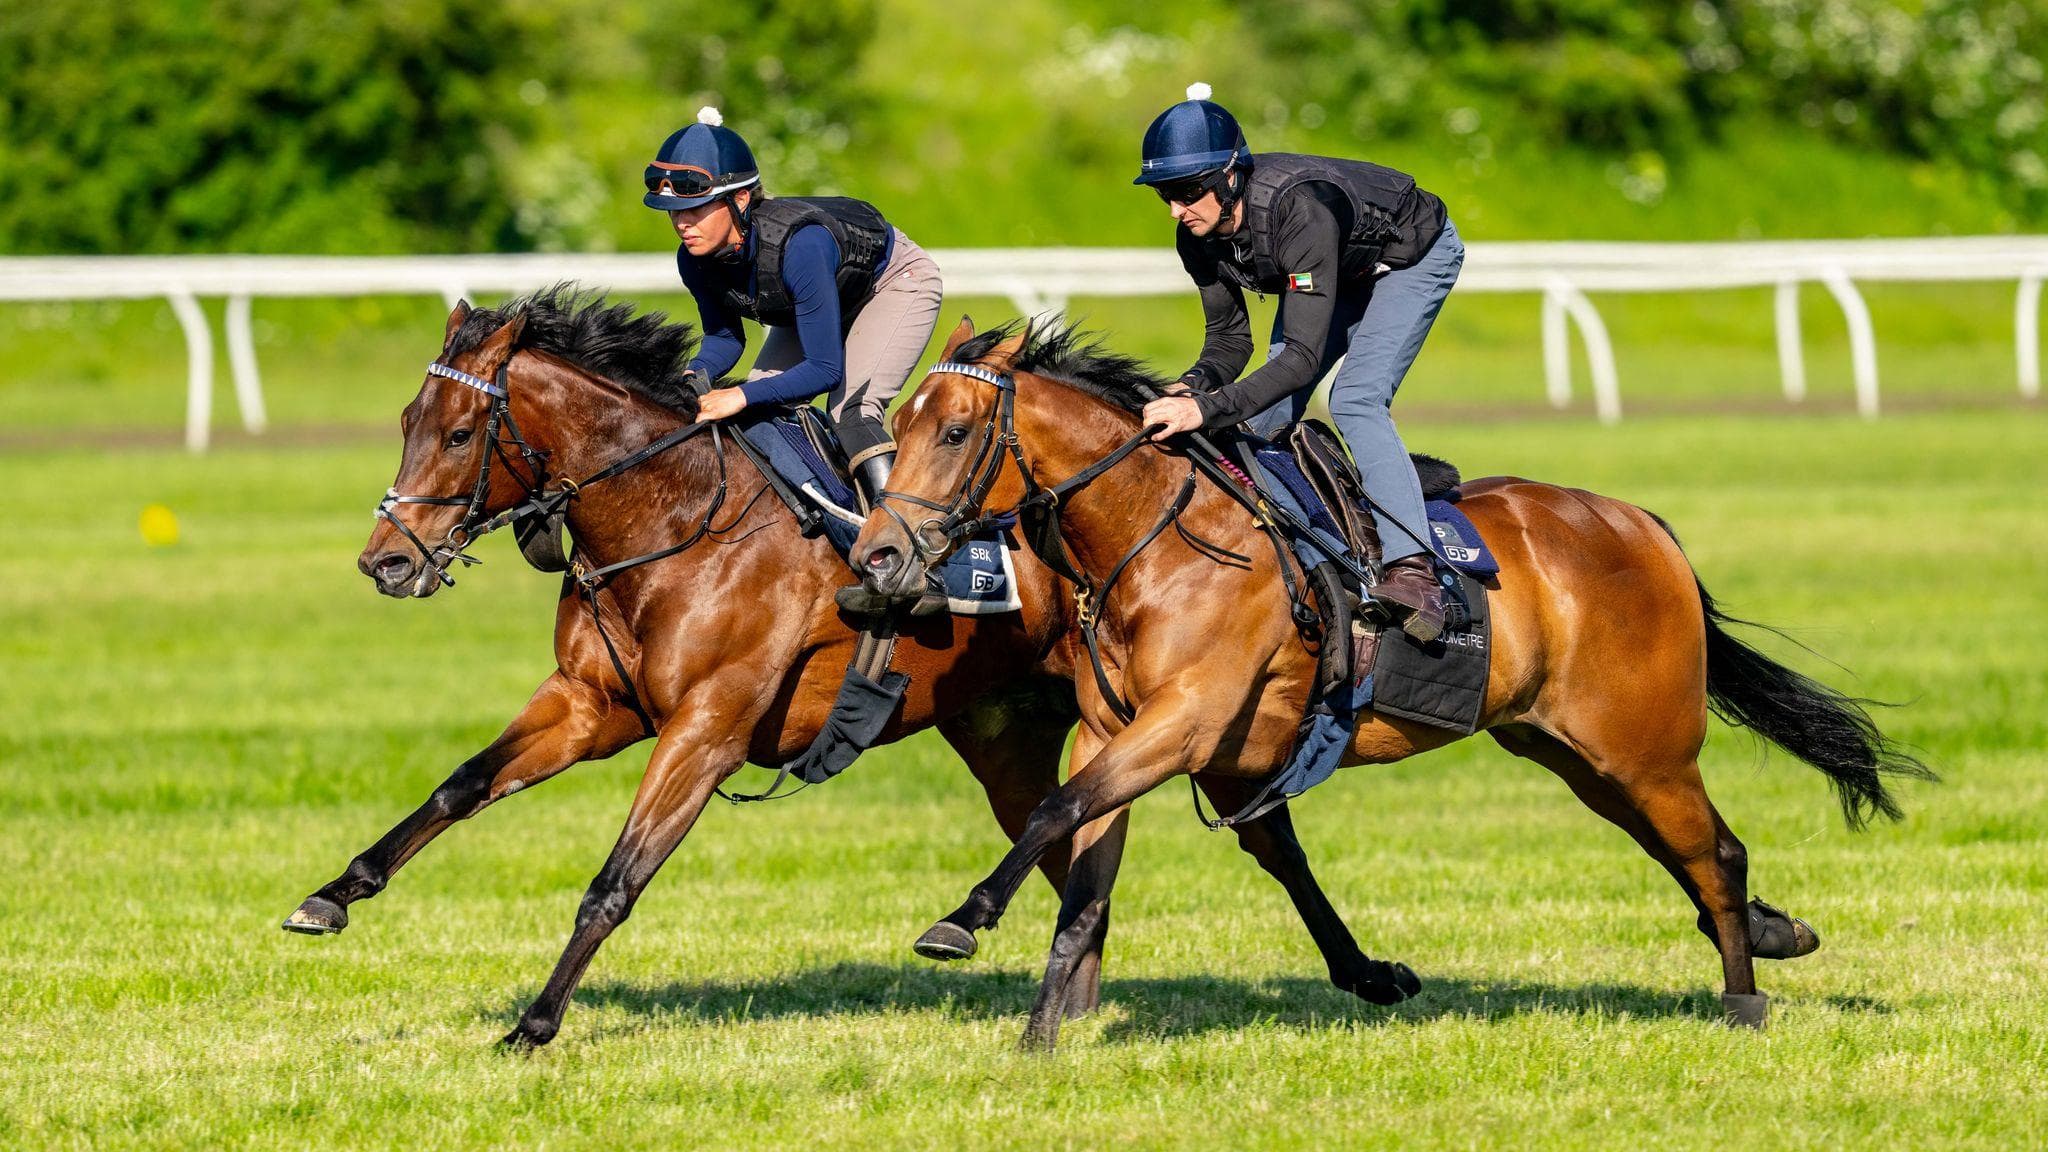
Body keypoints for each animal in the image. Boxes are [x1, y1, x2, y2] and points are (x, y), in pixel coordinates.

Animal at [282, 288, 1416, 1048]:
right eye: (406, 423)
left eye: (458, 432)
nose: (386, 562)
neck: (671, 516)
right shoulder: (592, 703)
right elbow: (461, 783)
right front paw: (333, 894)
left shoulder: (707, 726)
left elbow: (615, 880)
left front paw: (535, 1023)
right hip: (1017, 733)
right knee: (1077, 837)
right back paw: (1079, 992)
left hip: (1196, 710)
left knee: (1261, 839)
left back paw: (1362, 974)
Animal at [852, 318, 1932, 1049]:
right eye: (897, 424)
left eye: (954, 433)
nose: (877, 559)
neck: (1156, 539)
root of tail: (1642, 525)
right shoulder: (1113, 728)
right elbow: (1083, 863)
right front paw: (1043, 1031)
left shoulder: (1185, 720)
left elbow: (1053, 812)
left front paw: (961, 922)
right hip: (1573, 751)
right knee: (1690, 851)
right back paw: (1769, 940)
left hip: (1643, 743)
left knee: (1715, 852)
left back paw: (1743, 999)